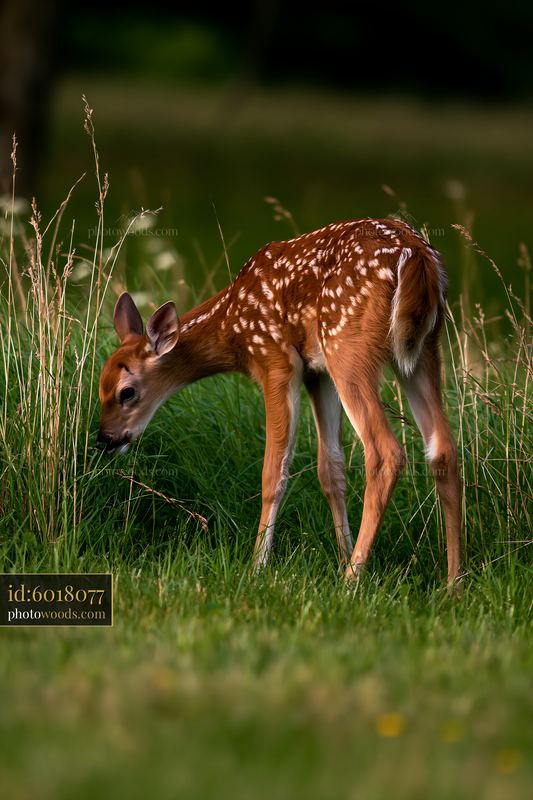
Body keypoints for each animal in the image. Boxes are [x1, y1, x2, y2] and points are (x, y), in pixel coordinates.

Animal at [97, 217, 462, 586]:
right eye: (100, 387)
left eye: (126, 392)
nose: (104, 440)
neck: (232, 326)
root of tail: (417, 256)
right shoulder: (317, 373)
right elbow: (330, 469)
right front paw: (340, 554)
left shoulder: (275, 360)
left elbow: (273, 472)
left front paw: (257, 566)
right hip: (422, 350)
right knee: (443, 448)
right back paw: (452, 582)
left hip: (347, 343)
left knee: (385, 451)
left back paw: (352, 580)